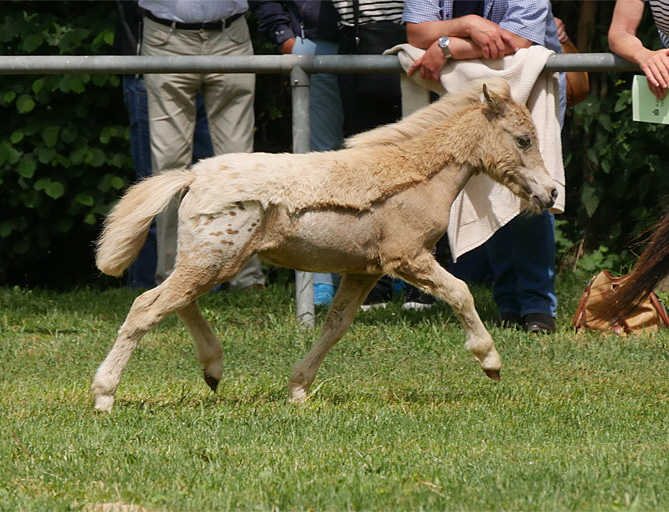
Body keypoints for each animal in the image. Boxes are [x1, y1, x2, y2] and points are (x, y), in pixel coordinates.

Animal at [91, 79, 556, 412]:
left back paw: (213, 369)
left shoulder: (363, 271)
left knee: (177, 303)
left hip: (210, 261)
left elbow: (336, 326)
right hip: (213, 260)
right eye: (522, 139)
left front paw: (298, 388)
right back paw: (104, 394)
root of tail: (192, 176)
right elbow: (460, 293)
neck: (419, 176)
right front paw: (490, 361)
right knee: (146, 307)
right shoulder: (407, 258)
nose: (551, 193)